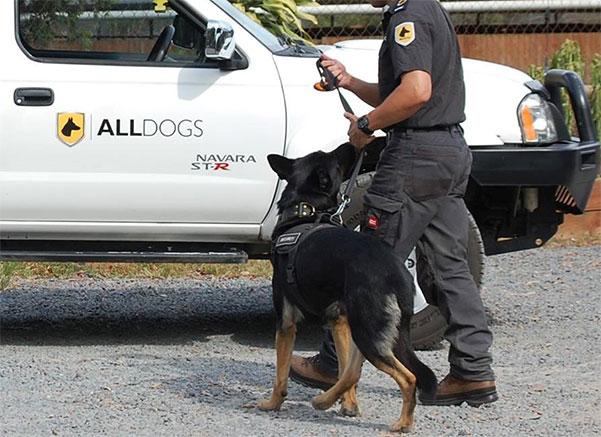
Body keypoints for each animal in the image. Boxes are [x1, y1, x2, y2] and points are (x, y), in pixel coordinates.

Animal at [256, 144, 436, 432]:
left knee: (408, 378)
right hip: (365, 328)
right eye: (337, 158)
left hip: (368, 332)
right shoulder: (338, 320)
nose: (352, 145)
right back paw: (326, 400)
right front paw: (349, 405)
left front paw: (273, 403)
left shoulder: (285, 321)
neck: (306, 210)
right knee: (354, 371)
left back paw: (402, 422)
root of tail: (398, 273)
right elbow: (343, 365)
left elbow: (281, 373)